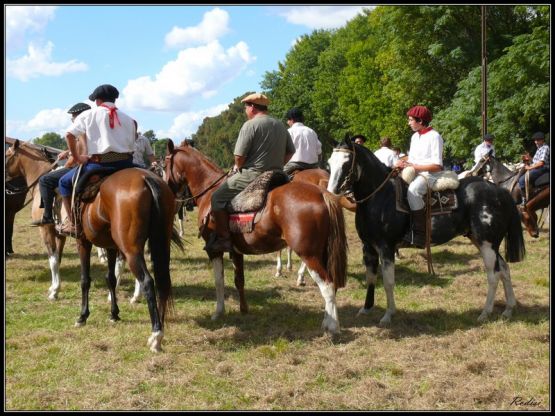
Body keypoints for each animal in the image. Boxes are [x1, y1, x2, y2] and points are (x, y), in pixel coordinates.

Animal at [5, 140, 68, 300]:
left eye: (6, 154)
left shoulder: (45, 230)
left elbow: (53, 260)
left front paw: (54, 291)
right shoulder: (60, 234)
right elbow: (58, 258)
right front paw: (54, 287)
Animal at [164, 140, 348, 334]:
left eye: (164, 163)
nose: (166, 188)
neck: (209, 190)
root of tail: (322, 193)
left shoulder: (214, 251)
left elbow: (219, 280)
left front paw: (219, 312)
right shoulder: (236, 251)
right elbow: (239, 280)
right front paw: (243, 309)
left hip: (309, 254)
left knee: (327, 285)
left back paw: (332, 326)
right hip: (322, 252)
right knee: (332, 285)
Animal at [328, 138, 528, 326]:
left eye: (346, 163)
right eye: (329, 162)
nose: (331, 192)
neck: (380, 196)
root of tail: (499, 191)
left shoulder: (386, 248)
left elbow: (388, 281)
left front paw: (388, 315)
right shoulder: (368, 247)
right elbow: (371, 278)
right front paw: (366, 308)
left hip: (487, 244)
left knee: (493, 275)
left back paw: (485, 313)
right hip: (484, 242)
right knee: (504, 269)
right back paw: (508, 309)